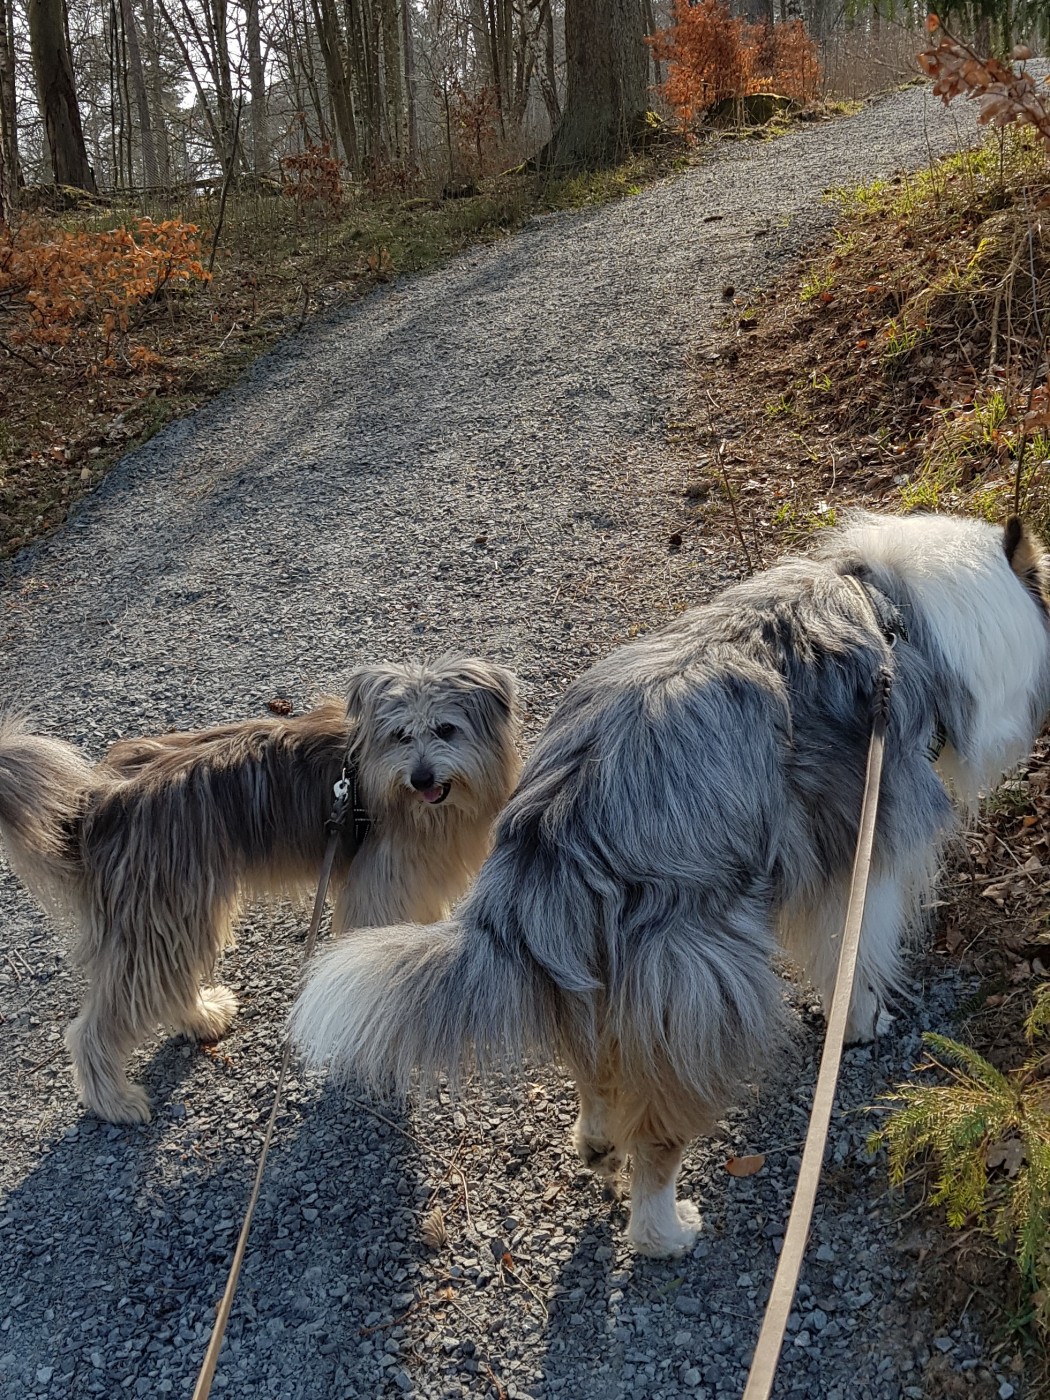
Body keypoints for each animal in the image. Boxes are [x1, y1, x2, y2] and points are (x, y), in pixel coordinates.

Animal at [0, 656, 520, 1125]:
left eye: (446, 729)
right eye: (401, 736)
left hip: (173, 915)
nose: (421, 778)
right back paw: (116, 1102)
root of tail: (100, 801)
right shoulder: (378, 888)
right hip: (157, 914)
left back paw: (201, 1017)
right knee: (96, 1027)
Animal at [289, 513, 1050, 1257]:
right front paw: (862, 1022)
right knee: (657, 1136)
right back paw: (666, 1230)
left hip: (590, 969)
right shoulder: (866, 842)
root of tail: (559, 816)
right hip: (697, 980)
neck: (901, 612)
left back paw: (597, 1142)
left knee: (596, 1073)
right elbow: (855, 950)